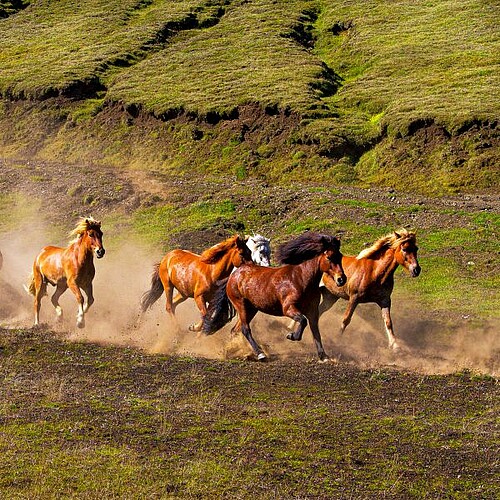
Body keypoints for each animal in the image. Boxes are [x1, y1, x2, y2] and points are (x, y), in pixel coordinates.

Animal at [141, 234, 270, 332]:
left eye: (250, 252)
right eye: (242, 253)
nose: (253, 268)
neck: (212, 273)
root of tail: (166, 257)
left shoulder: (212, 300)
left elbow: (208, 315)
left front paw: (196, 328)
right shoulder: (199, 297)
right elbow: (204, 314)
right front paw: (195, 328)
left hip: (183, 293)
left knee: (172, 304)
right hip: (168, 286)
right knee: (168, 306)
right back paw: (177, 330)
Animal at [201, 232, 346, 362]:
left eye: (340, 257)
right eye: (329, 257)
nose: (341, 279)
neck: (301, 278)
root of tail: (235, 274)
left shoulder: (313, 311)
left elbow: (315, 331)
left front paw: (324, 356)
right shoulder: (288, 308)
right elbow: (303, 321)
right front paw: (291, 336)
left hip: (251, 309)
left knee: (235, 330)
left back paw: (232, 351)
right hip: (240, 305)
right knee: (245, 329)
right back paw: (259, 354)